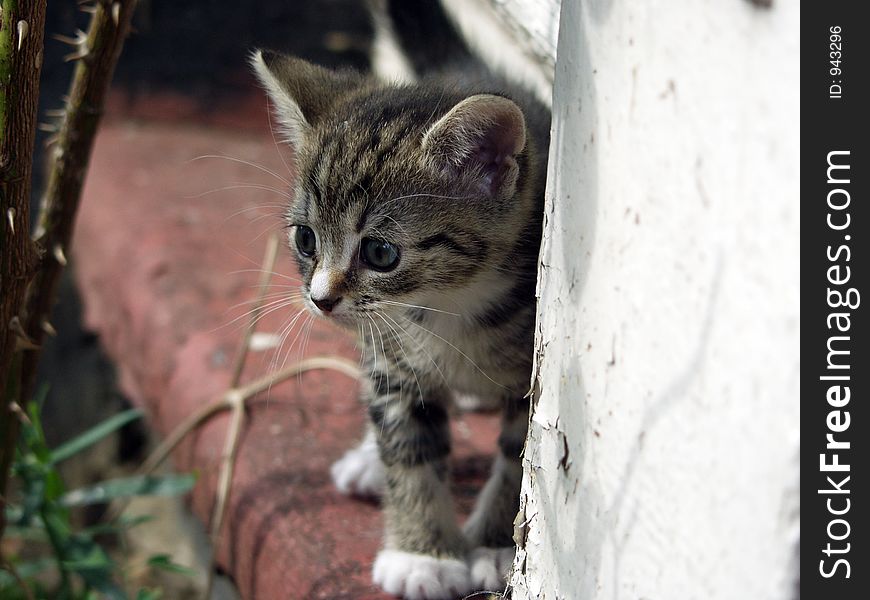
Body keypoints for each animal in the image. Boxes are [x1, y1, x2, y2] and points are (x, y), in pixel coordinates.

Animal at [252, 19, 548, 600]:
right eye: (305, 240)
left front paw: (496, 545)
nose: (320, 299)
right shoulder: (392, 360)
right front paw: (422, 556)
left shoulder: (528, 379)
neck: (447, 308)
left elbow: (517, 463)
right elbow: (409, 448)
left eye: (380, 253)